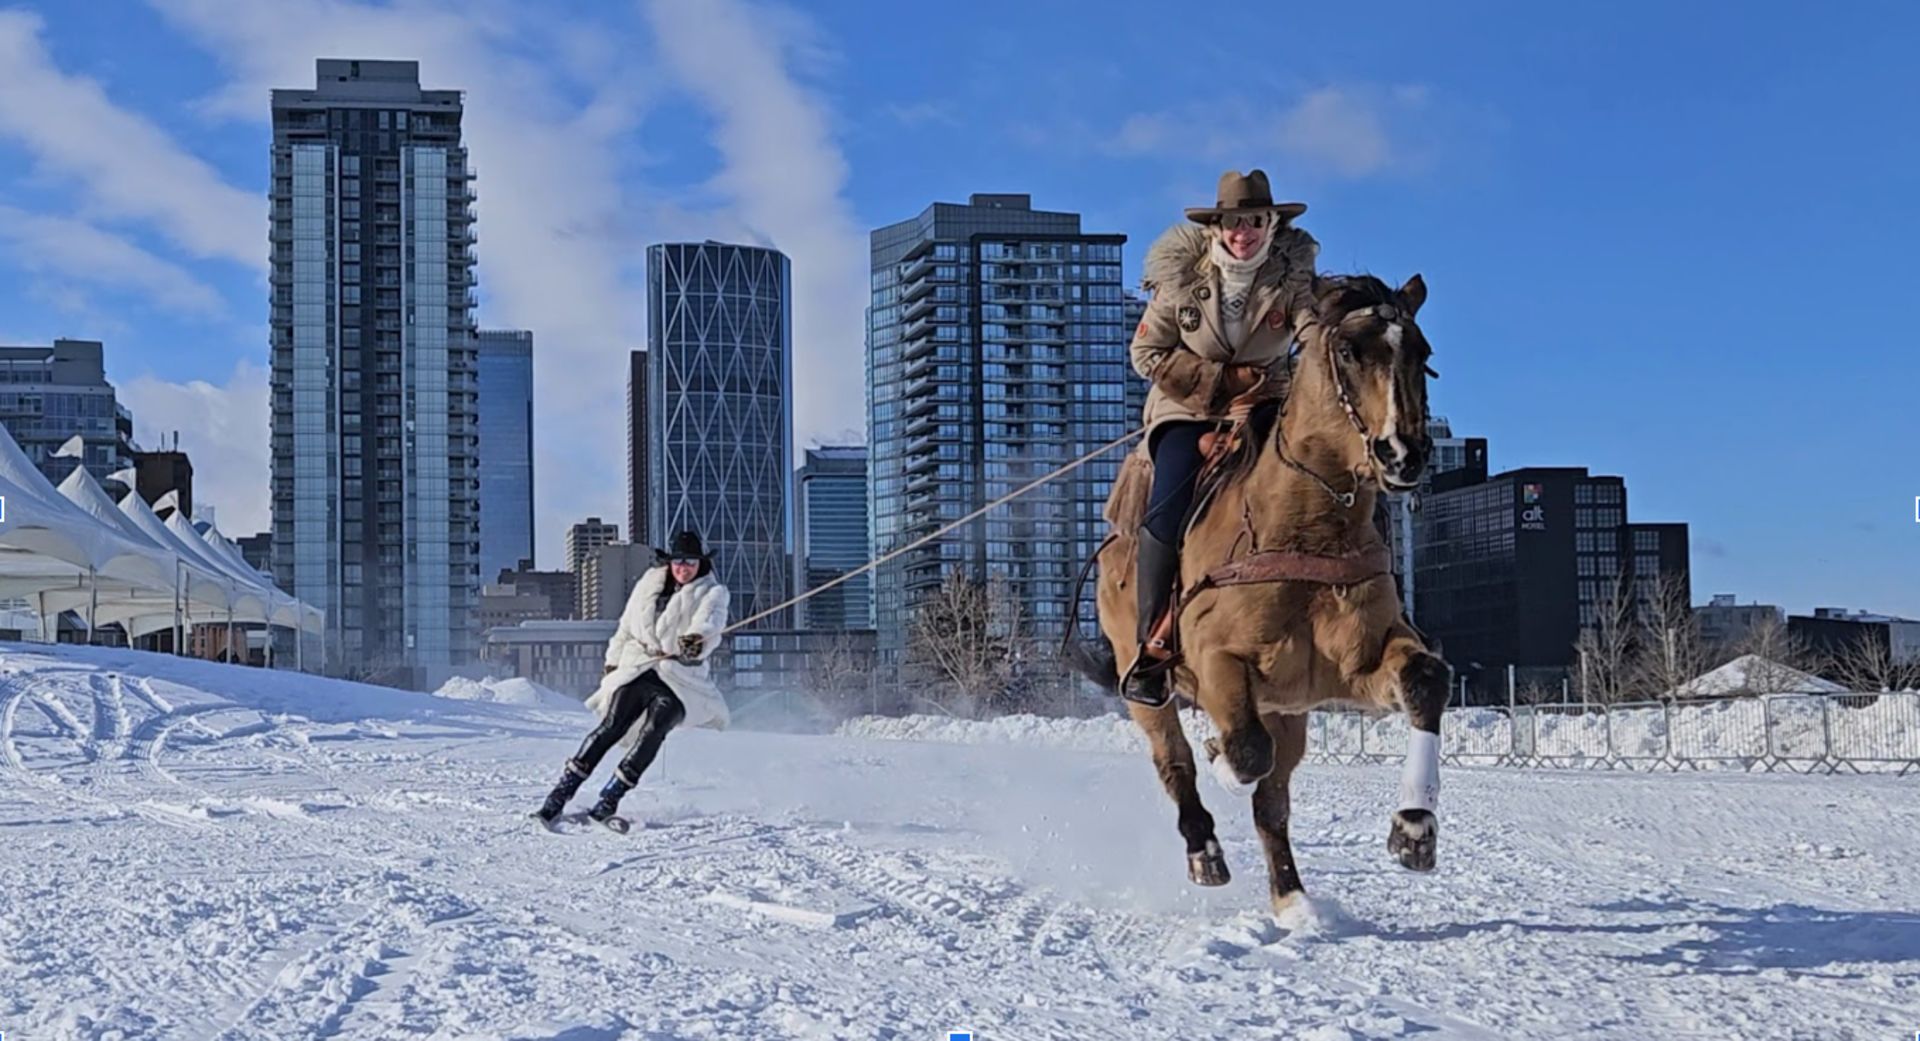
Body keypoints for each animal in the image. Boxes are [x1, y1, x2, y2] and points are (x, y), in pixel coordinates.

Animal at [1067, 272, 1443, 918]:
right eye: (1350, 351)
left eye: (1422, 353)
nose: (1404, 453)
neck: (1302, 527)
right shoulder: (1218, 662)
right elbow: (1243, 752)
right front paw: (1219, 756)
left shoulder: (1356, 664)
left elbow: (1425, 680)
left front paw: (1414, 829)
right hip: (1143, 683)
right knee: (1175, 761)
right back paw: (1205, 852)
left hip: (1286, 708)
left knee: (1272, 804)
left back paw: (1293, 900)